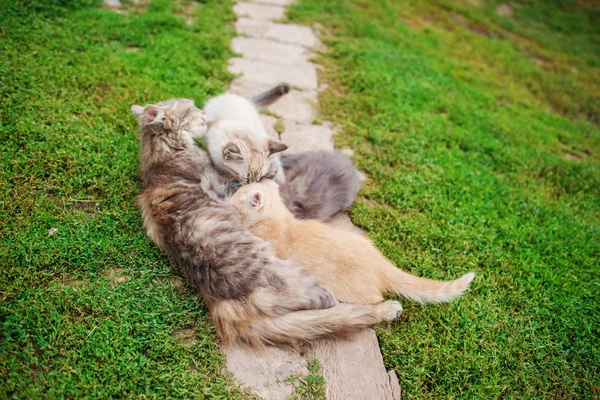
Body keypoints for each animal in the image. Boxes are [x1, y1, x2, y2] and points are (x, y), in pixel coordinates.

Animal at [131, 96, 404, 346]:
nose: (204, 112)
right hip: (305, 280)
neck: (159, 156)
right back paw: (388, 309)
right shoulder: (218, 181)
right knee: (333, 306)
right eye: (190, 108)